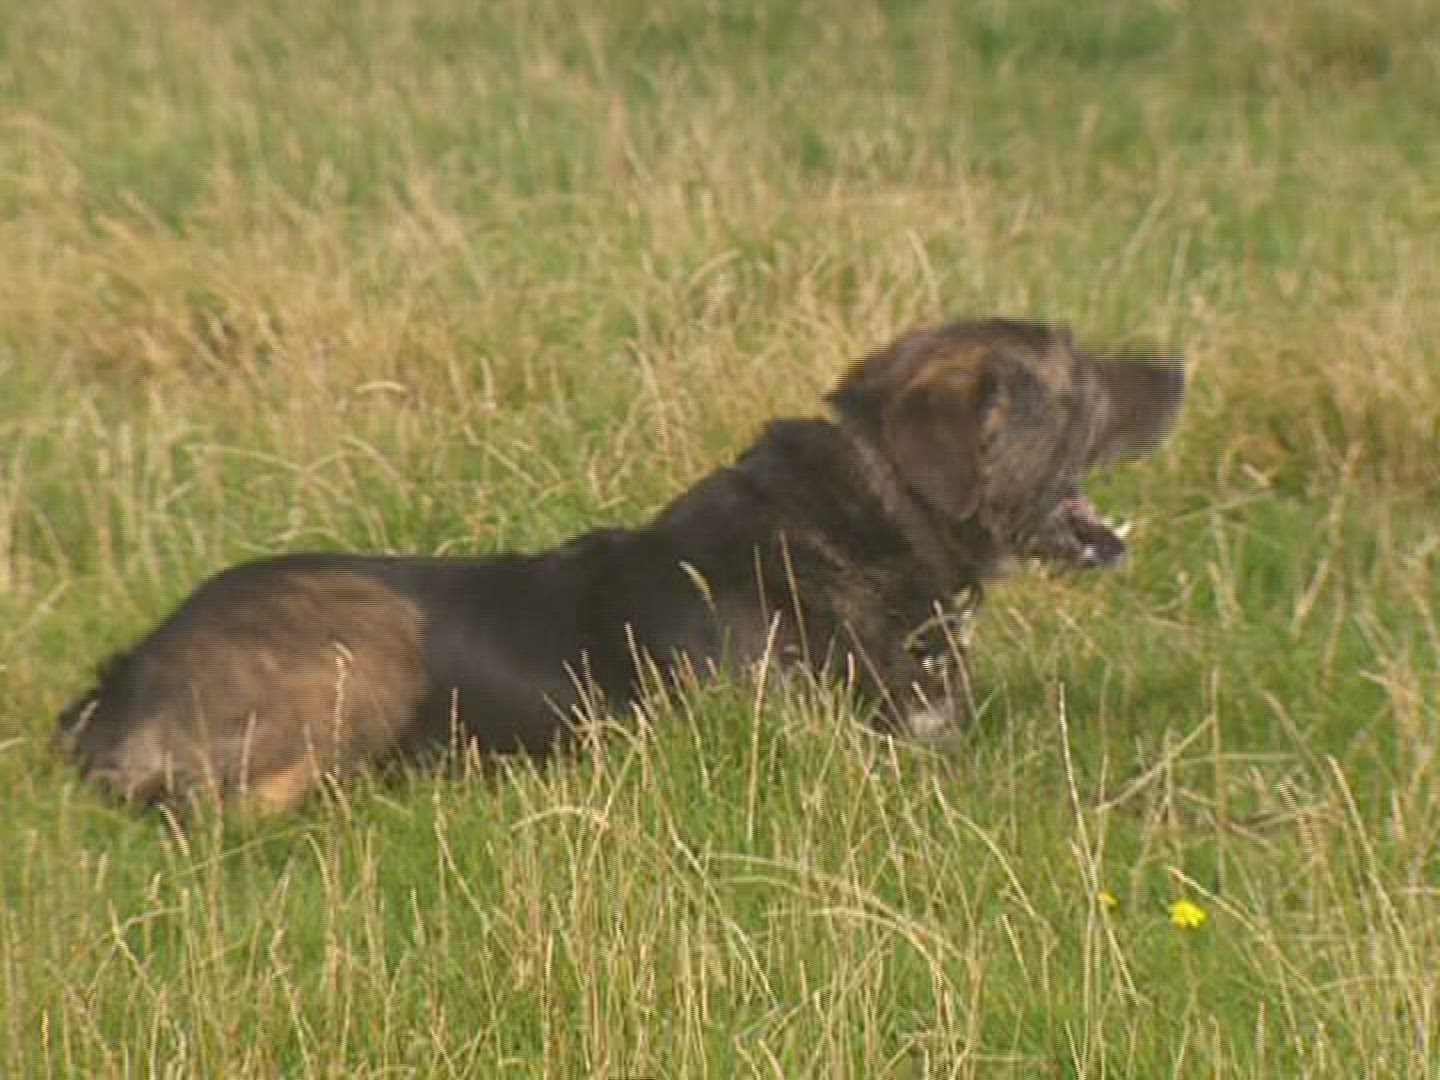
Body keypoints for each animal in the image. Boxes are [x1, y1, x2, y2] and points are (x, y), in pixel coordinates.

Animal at [55, 318, 1184, 812]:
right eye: (1077, 376)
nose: (1179, 365)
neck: (873, 513)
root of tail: (119, 687)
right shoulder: (837, 762)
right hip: (370, 639)